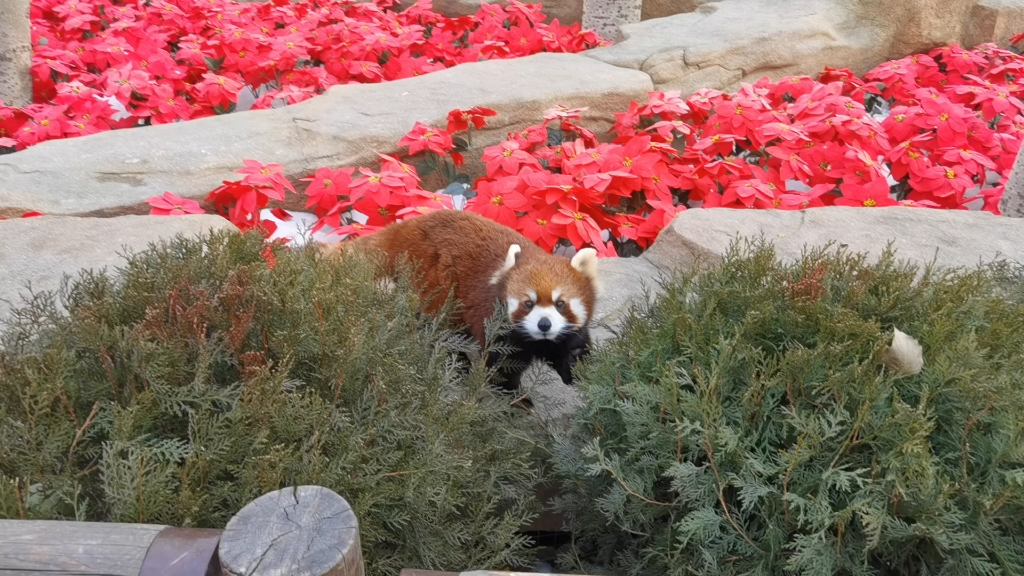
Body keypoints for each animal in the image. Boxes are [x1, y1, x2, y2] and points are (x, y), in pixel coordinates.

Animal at [319, 208, 598, 387]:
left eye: (560, 304)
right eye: (528, 304)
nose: (544, 324)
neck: (538, 341)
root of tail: (405, 228)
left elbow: (572, 349)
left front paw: (579, 373)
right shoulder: (495, 325)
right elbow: (502, 366)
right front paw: (514, 398)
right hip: (437, 286)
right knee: (443, 332)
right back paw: (457, 366)